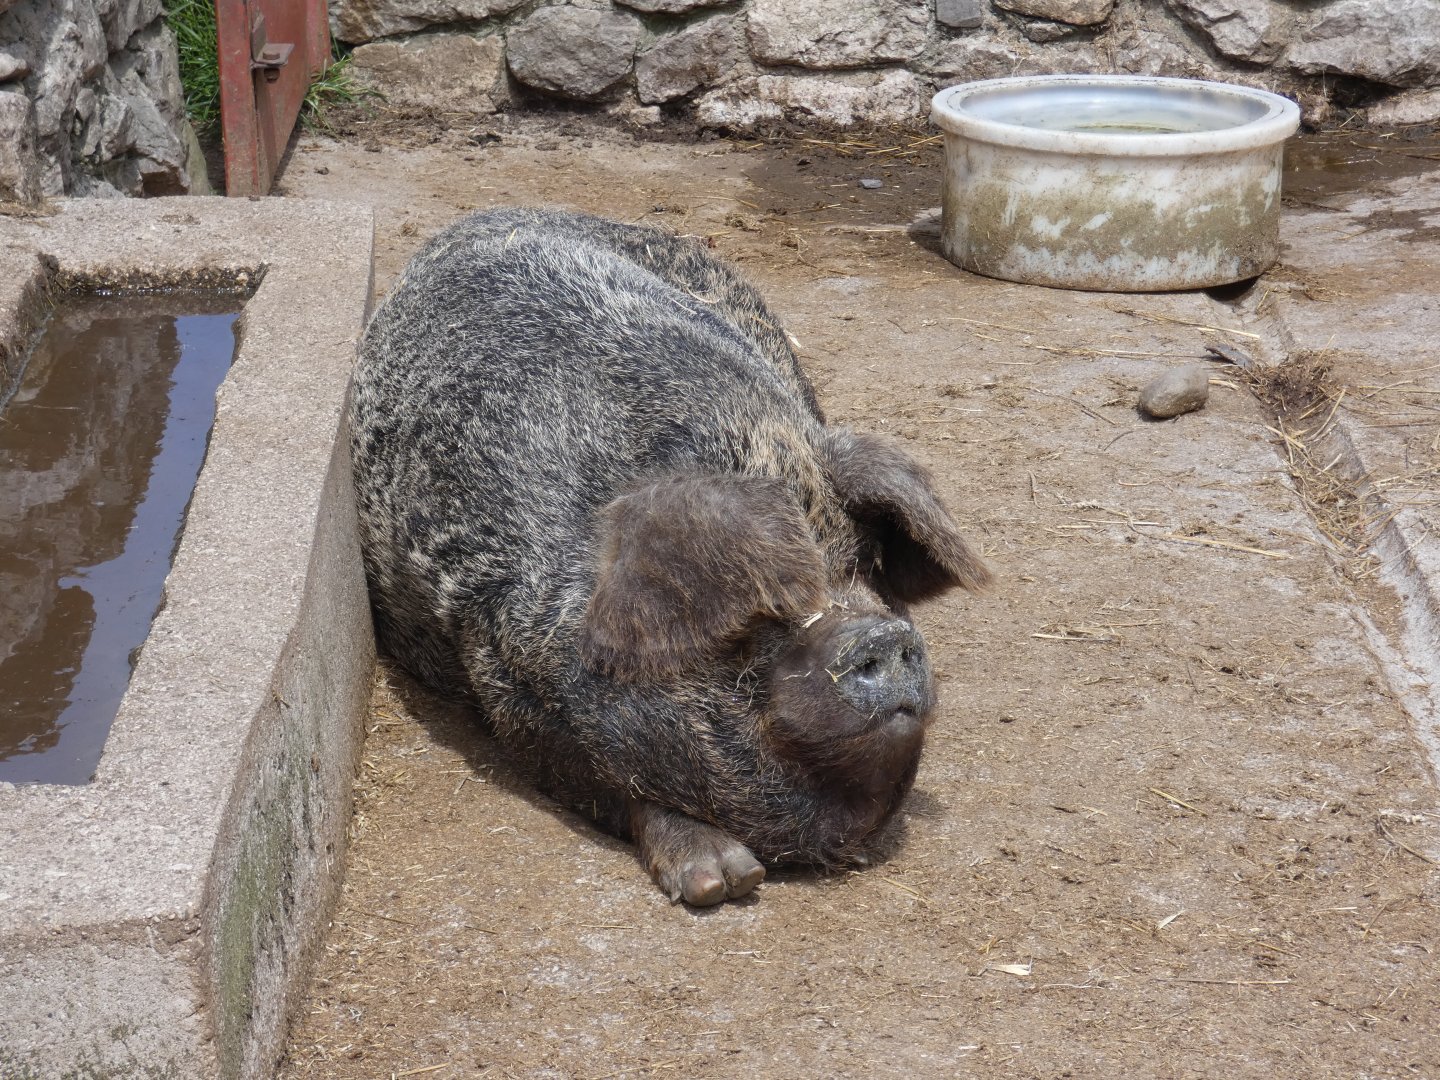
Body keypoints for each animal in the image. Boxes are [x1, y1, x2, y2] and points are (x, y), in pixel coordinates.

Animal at [351, 207, 991, 906]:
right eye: (757, 600)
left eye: (866, 564)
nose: (879, 633)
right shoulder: (506, 670)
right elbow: (614, 785)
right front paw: (721, 883)